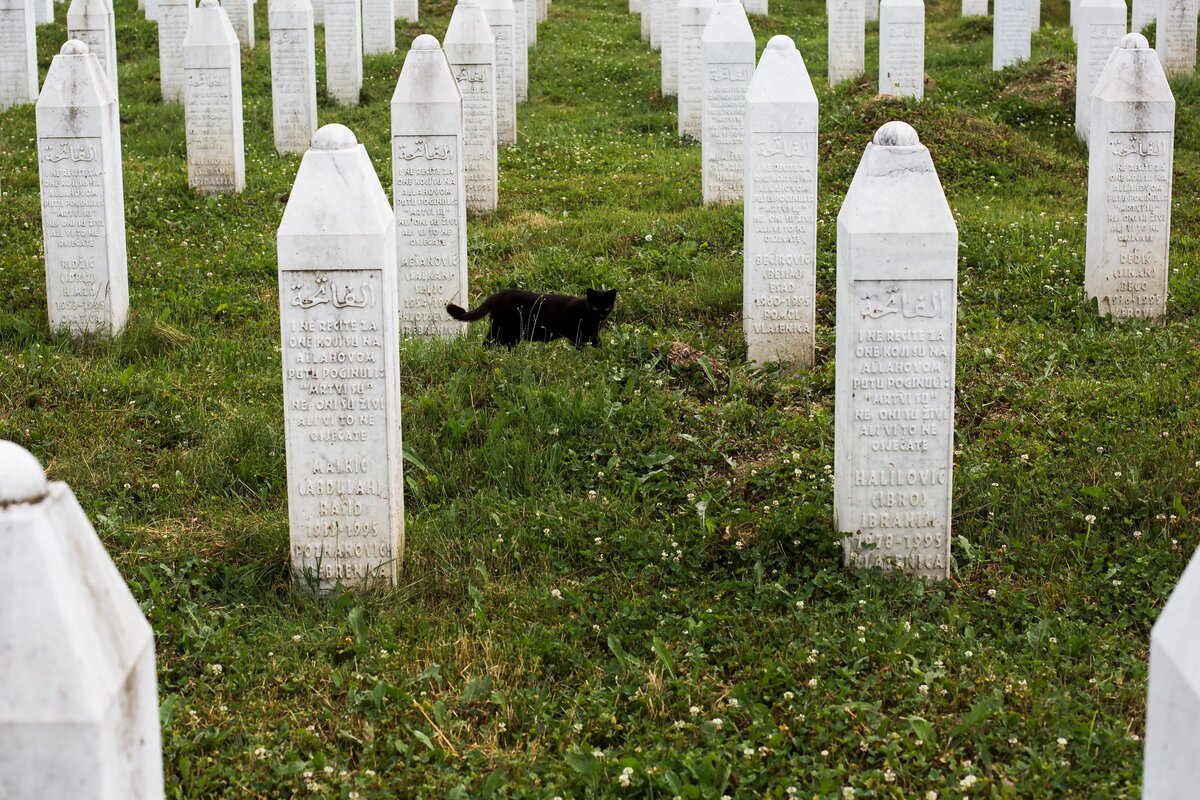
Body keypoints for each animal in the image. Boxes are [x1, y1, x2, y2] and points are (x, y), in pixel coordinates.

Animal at [448, 289, 619, 347]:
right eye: (595, 307)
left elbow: (599, 344)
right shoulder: (576, 336)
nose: (602, 315)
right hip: (502, 329)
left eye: (607, 307)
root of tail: (496, 295)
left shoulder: (593, 335)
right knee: (487, 343)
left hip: (512, 335)